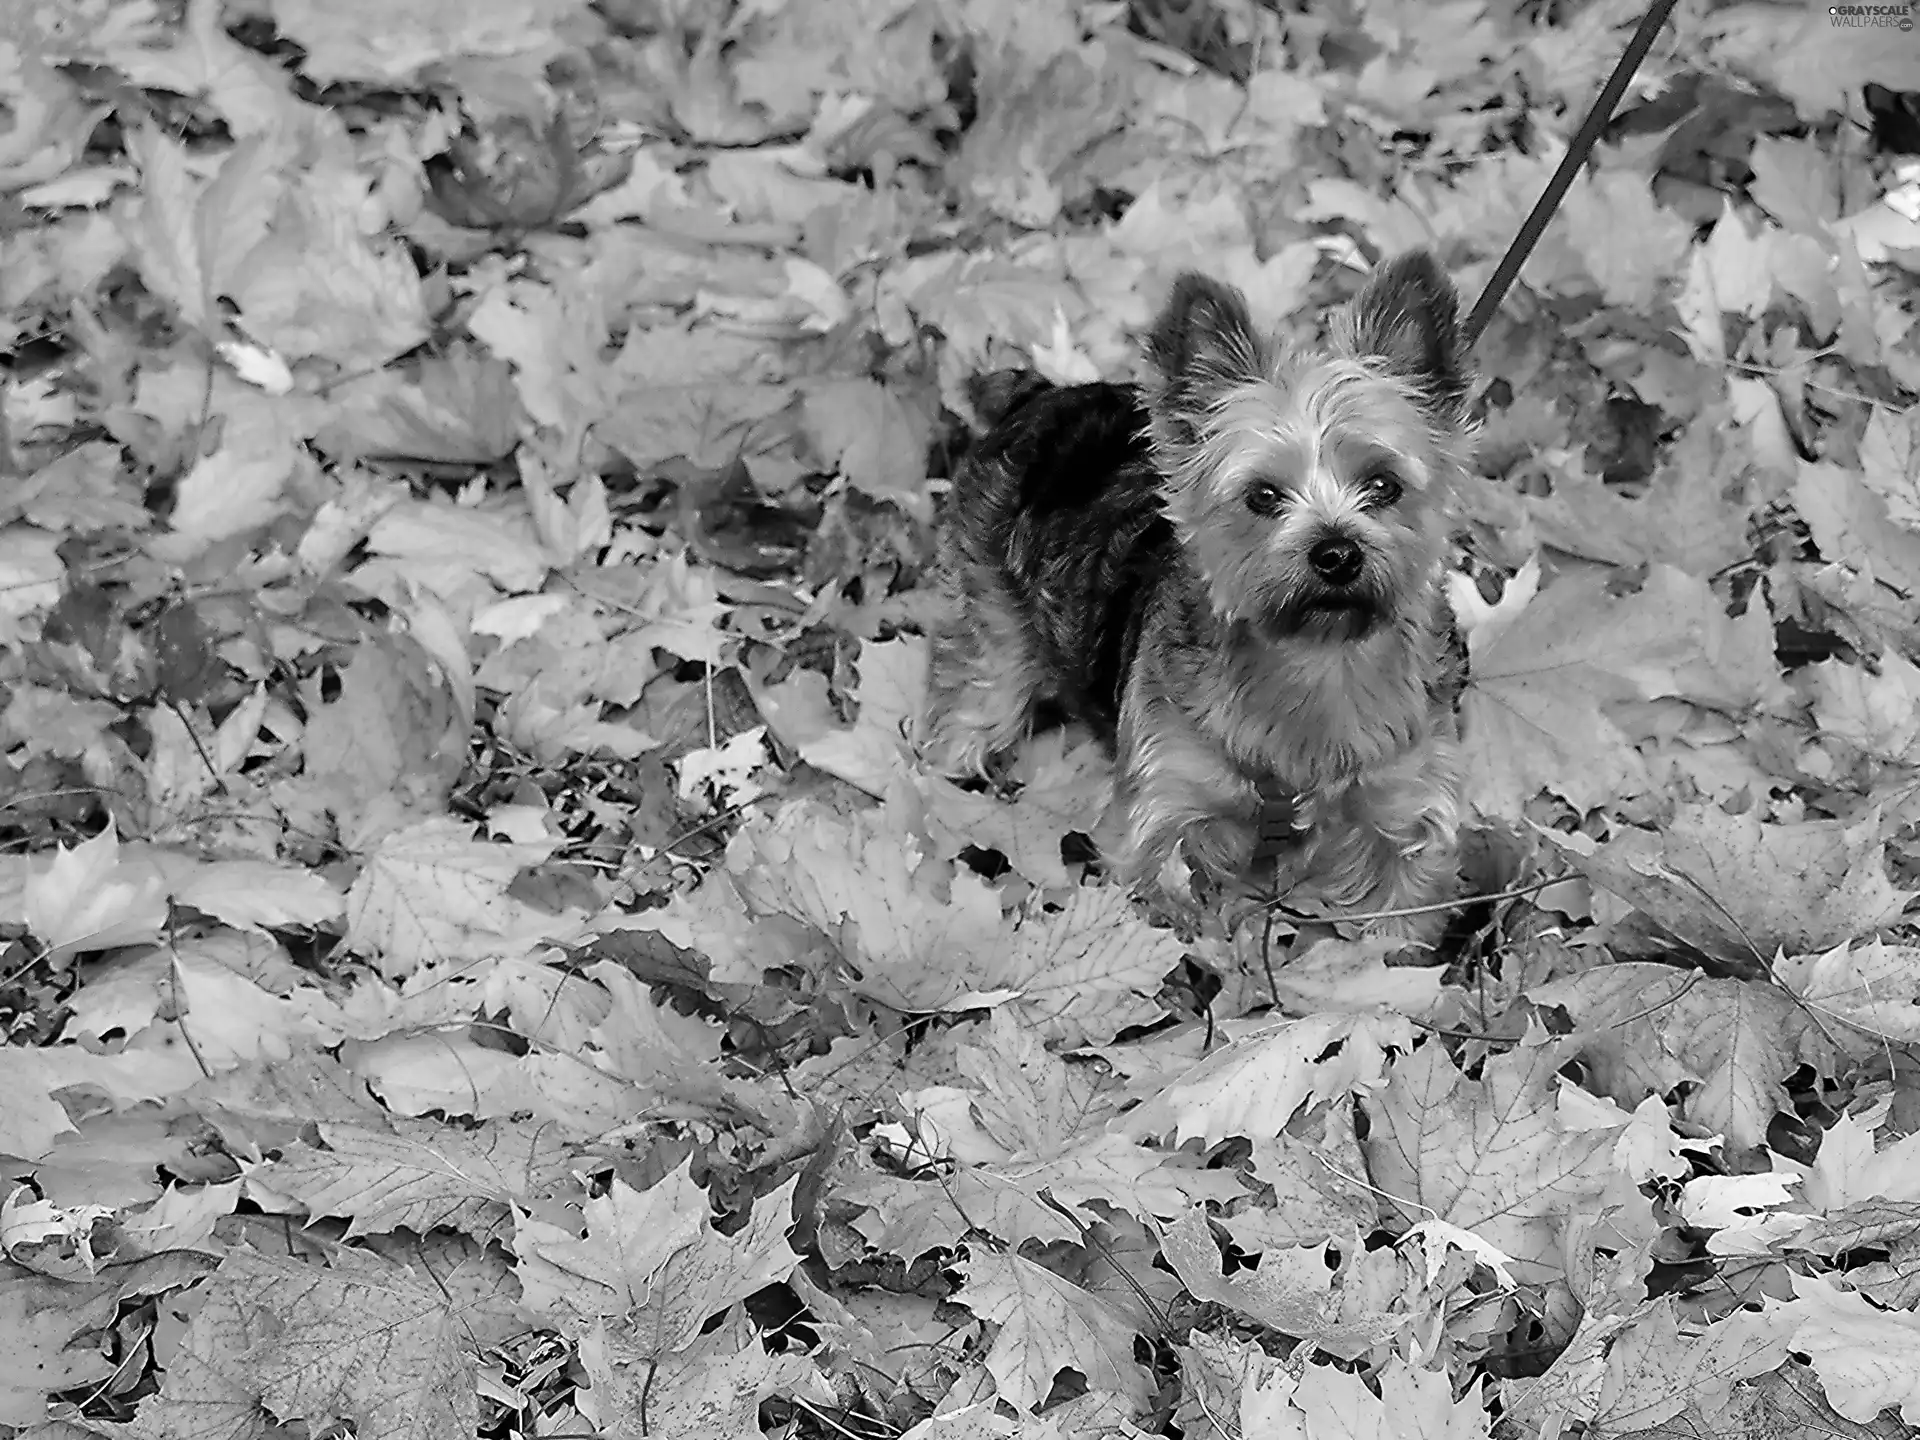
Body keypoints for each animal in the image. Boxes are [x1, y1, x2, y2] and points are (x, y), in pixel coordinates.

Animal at [917, 253, 1466, 940]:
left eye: (1383, 485)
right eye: (1263, 495)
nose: (1337, 553)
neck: (1317, 658)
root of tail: (1041, 396)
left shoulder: (1402, 815)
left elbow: (1395, 932)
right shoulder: (1171, 815)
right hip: (986, 643)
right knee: (963, 718)